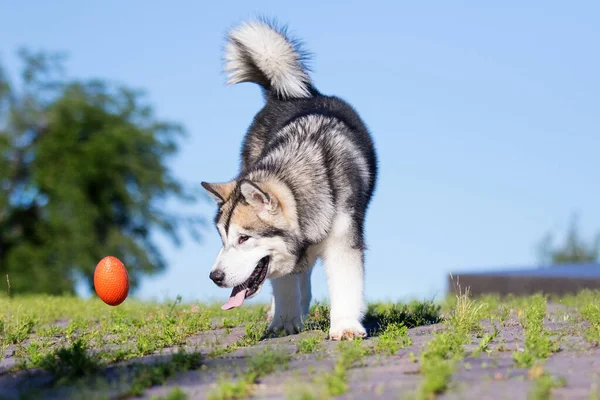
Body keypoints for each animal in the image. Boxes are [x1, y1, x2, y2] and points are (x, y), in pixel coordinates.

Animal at [204, 19, 378, 340]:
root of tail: (294, 95)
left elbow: (346, 283)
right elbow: (284, 285)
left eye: (243, 238)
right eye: (223, 239)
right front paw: (283, 323)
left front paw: (345, 326)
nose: (214, 276)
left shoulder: (343, 240)